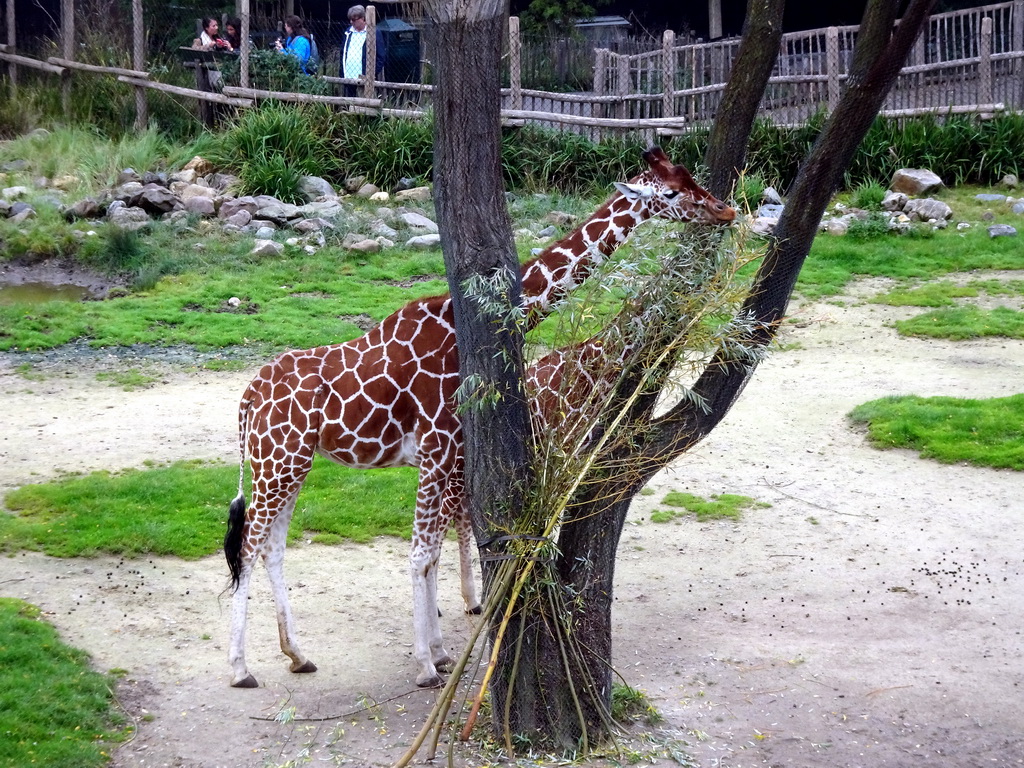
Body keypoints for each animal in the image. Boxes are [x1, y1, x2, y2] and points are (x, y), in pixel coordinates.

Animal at [224, 147, 737, 688]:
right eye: (673, 192)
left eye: (691, 176)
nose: (725, 210)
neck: (462, 326)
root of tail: (247, 399)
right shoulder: (436, 448)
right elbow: (421, 554)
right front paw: (426, 665)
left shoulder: (448, 453)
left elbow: (432, 553)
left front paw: (441, 653)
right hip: (278, 461)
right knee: (248, 546)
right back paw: (240, 668)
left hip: (290, 463)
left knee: (272, 547)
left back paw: (297, 655)